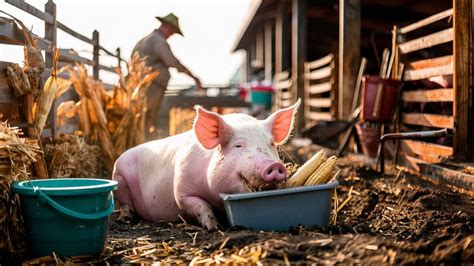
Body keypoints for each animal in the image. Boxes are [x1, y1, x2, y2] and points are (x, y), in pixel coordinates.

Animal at [112, 98, 300, 230]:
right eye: (238, 145)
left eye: (271, 144)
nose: (273, 165)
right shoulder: (181, 191)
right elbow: (200, 205)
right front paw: (213, 227)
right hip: (119, 178)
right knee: (125, 205)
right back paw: (124, 220)